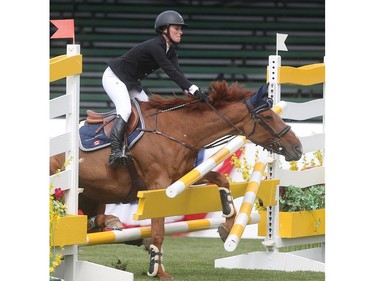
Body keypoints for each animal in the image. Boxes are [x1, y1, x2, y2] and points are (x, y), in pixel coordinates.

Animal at [49, 80, 302, 278]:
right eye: (268, 116)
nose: (297, 148)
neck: (180, 131)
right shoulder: (159, 186)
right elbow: (159, 230)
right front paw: (158, 270)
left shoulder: (183, 177)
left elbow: (222, 180)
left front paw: (227, 226)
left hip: (93, 196)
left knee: (92, 225)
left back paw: (120, 228)